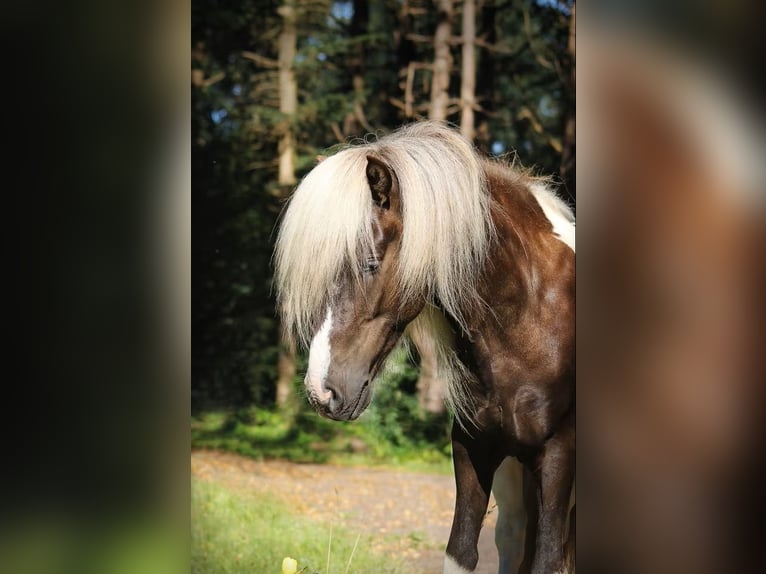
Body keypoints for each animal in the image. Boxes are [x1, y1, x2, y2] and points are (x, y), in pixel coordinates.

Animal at [274, 121, 575, 574]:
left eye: (369, 263)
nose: (319, 391)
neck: (533, 314)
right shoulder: (475, 449)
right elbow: (461, 551)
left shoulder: (558, 457)